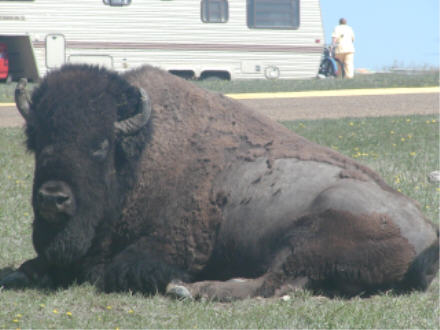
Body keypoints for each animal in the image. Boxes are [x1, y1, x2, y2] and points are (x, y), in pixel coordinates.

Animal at [0, 63, 436, 300]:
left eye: (99, 145)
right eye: (36, 140)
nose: (52, 198)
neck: (139, 153)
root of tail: (428, 235)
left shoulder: (168, 249)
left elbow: (108, 271)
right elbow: (31, 265)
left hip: (311, 237)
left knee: (272, 282)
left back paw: (191, 290)